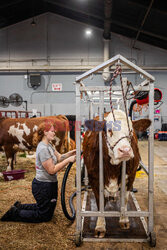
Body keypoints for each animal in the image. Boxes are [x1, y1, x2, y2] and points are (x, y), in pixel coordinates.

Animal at [83, 110, 151, 238]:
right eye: (109, 130)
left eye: (131, 130)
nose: (125, 150)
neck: (112, 168)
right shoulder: (94, 178)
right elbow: (100, 202)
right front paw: (100, 226)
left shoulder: (131, 176)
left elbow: (125, 198)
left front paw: (124, 220)